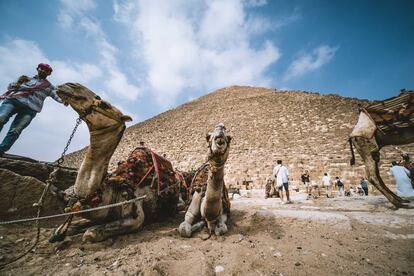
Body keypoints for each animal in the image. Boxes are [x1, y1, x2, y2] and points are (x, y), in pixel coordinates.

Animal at [49, 83, 189, 243]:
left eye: (104, 104)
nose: (71, 86)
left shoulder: (135, 214)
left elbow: (90, 233)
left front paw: (90, 231)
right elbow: (68, 227)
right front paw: (61, 231)